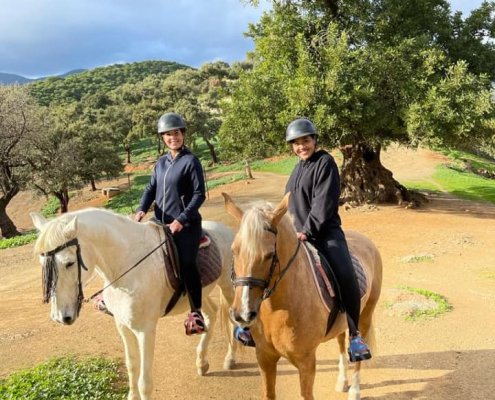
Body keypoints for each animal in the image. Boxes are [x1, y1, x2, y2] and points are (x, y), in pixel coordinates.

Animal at [30, 208, 239, 400]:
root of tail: (225, 229)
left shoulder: (145, 331)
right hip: (200, 294)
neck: (128, 266)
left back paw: (230, 358)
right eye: (42, 264)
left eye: (69, 263)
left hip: (227, 286)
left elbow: (145, 382)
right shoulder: (122, 325)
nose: (59, 317)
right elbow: (131, 365)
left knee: (233, 318)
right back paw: (202, 362)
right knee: (211, 313)